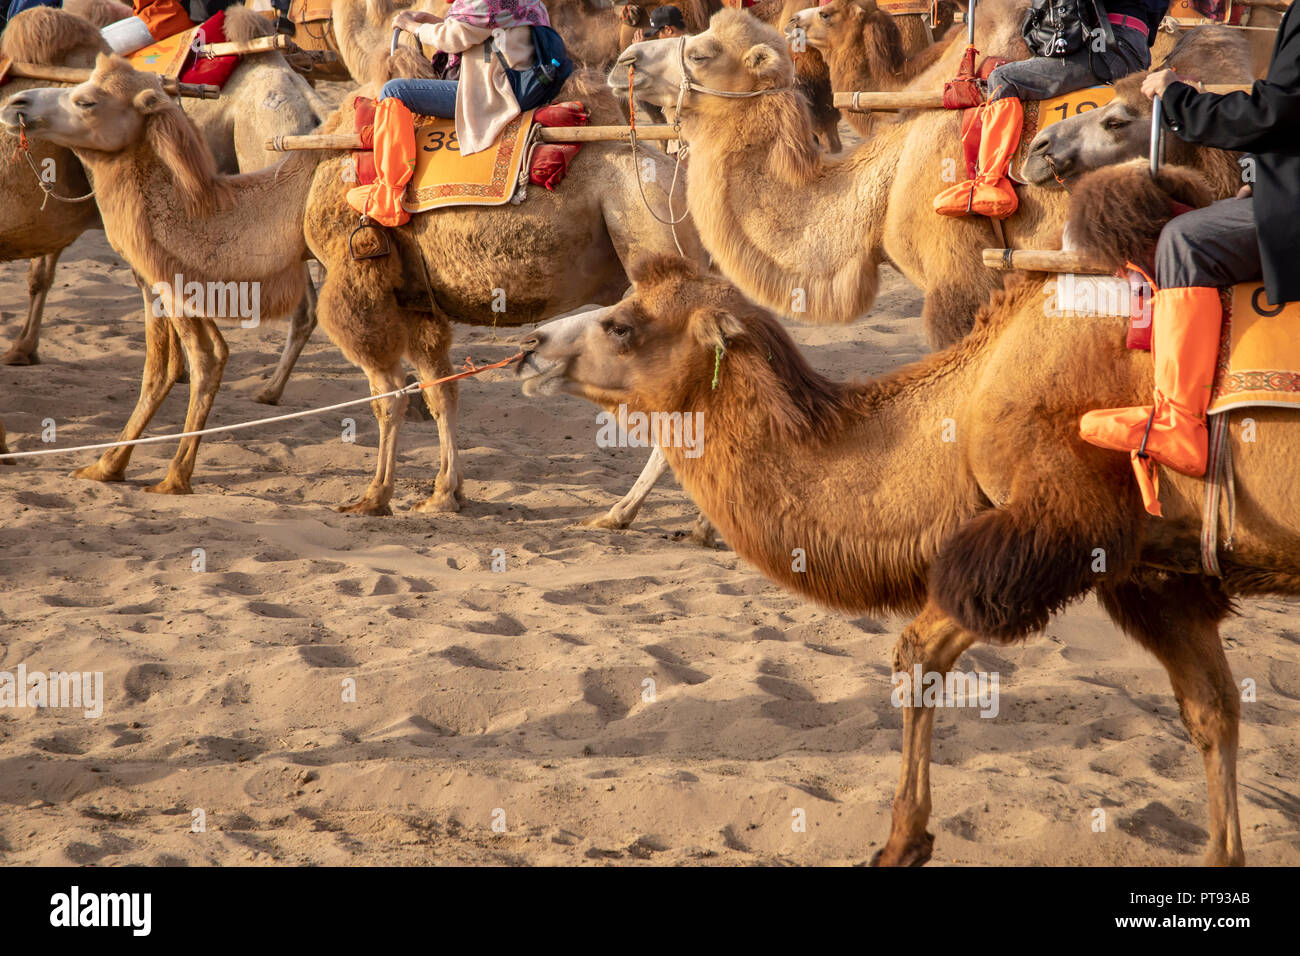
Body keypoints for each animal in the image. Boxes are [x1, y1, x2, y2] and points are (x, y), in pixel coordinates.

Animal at [0, 3, 325, 403]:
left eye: (86, 102)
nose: (17, 107)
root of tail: (309, 107)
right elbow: (44, 272)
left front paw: (20, 350)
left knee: (306, 306)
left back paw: (269, 390)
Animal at [2, 55, 712, 515]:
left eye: (88, 100)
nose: (17, 104)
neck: (295, 192)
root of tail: (680, 176)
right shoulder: (416, 297)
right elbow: (439, 390)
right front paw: (444, 494)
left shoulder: (355, 283)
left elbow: (386, 397)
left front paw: (374, 497)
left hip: (648, 241)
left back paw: (622, 514)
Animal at [517, 248, 1300, 868]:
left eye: (622, 325)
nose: (529, 347)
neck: (974, 395)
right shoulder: (1158, 573)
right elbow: (1212, 711)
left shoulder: (1058, 525)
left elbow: (916, 651)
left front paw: (901, 843)